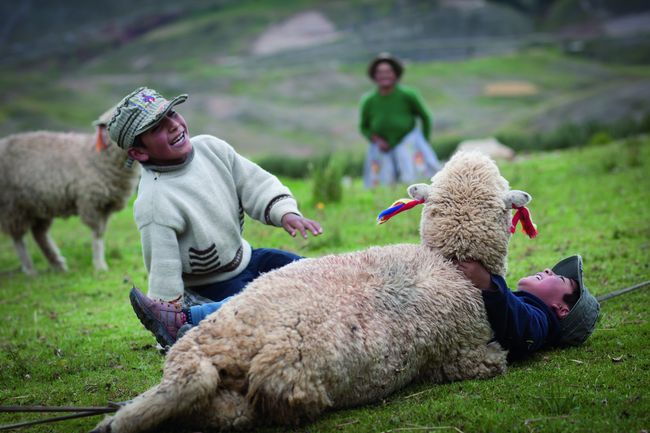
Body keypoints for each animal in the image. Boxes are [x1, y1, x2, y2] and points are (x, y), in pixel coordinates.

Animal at [0, 123, 139, 274]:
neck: (97, 155)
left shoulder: (106, 205)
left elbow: (101, 232)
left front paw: (100, 264)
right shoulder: (91, 201)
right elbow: (97, 234)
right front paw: (100, 266)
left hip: (39, 204)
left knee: (38, 233)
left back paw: (57, 264)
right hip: (13, 204)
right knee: (18, 236)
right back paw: (29, 269)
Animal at [92, 150, 532, 430]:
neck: (450, 262)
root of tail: (227, 349)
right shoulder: (469, 353)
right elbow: (495, 358)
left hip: (219, 389)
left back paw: (115, 420)